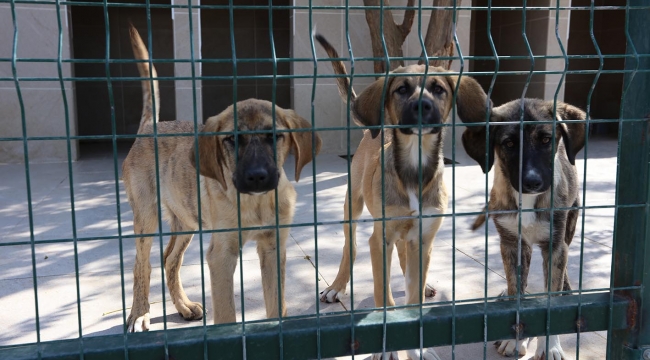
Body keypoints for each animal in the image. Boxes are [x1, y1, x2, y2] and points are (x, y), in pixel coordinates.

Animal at [122, 23, 322, 330]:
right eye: (231, 140)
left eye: (274, 136)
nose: (257, 177)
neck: (255, 203)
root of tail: (149, 128)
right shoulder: (222, 254)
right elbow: (227, 315)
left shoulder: (273, 247)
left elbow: (277, 305)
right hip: (146, 216)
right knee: (141, 265)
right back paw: (139, 313)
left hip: (186, 219)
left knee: (170, 259)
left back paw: (184, 306)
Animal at [312, 33, 486, 360]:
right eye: (401, 89)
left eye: (438, 89)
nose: (422, 106)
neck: (415, 168)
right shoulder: (380, 240)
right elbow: (384, 295)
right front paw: (387, 346)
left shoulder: (423, 237)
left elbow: (413, 296)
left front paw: (417, 344)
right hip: (352, 206)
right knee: (350, 246)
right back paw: (337, 286)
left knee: (407, 258)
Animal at [458, 99, 584, 360]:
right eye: (508, 144)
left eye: (546, 140)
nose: (532, 182)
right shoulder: (511, 244)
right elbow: (517, 292)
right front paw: (515, 338)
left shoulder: (555, 245)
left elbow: (550, 297)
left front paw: (550, 345)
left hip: (570, 224)